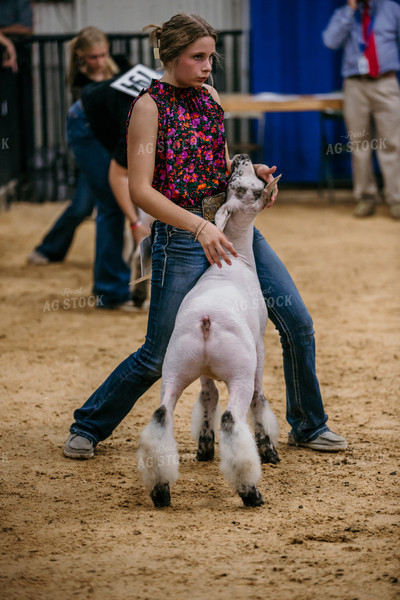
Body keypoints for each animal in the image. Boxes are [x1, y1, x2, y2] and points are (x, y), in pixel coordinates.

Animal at [138, 154, 282, 506]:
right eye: (243, 183)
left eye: (233, 179)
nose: (242, 157)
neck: (234, 260)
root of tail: (206, 321)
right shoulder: (259, 347)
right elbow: (259, 399)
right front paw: (268, 450)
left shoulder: (203, 373)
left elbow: (207, 396)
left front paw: (204, 445)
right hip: (240, 371)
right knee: (233, 418)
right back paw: (250, 491)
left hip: (176, 366)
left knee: (161, 416)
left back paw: (160, 490)